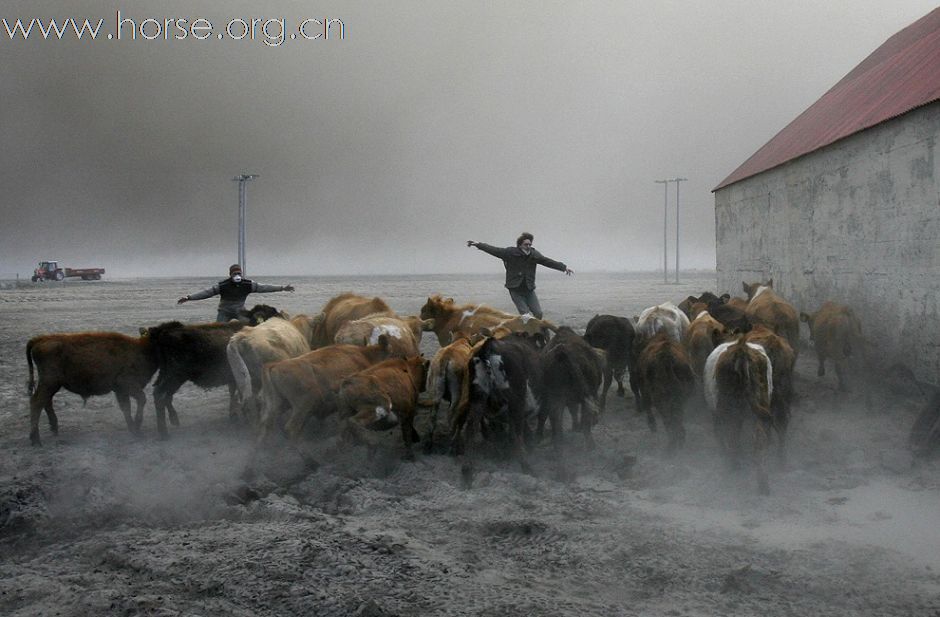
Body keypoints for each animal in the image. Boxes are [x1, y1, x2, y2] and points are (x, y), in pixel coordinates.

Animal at [24, 332, 158, 442]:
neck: (142, 349)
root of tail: (39, 339)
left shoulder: (121, 391)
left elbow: (126, 408)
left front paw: (133, 428)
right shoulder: (127, 386)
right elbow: (138, 401)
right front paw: (137, 429)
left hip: (52, 385)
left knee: (46, 401)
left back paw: (54, 429)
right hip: (50, 383)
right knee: (37, 402)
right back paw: (36, 439)